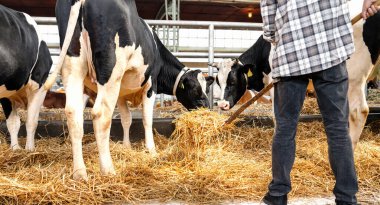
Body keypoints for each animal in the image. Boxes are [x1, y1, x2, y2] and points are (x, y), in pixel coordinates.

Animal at [44, 0, 214, 179]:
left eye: (206, 88)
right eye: (194, 88)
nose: (206, 107)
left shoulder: (121, 94)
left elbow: (127, 119)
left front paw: (126, 146)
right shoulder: (150, 86)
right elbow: (147, 119)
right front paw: (151, 149)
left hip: (73, 66)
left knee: (72, 113)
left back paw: (79, 173)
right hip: (111, 71)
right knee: (101, 115)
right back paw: (108, 169)